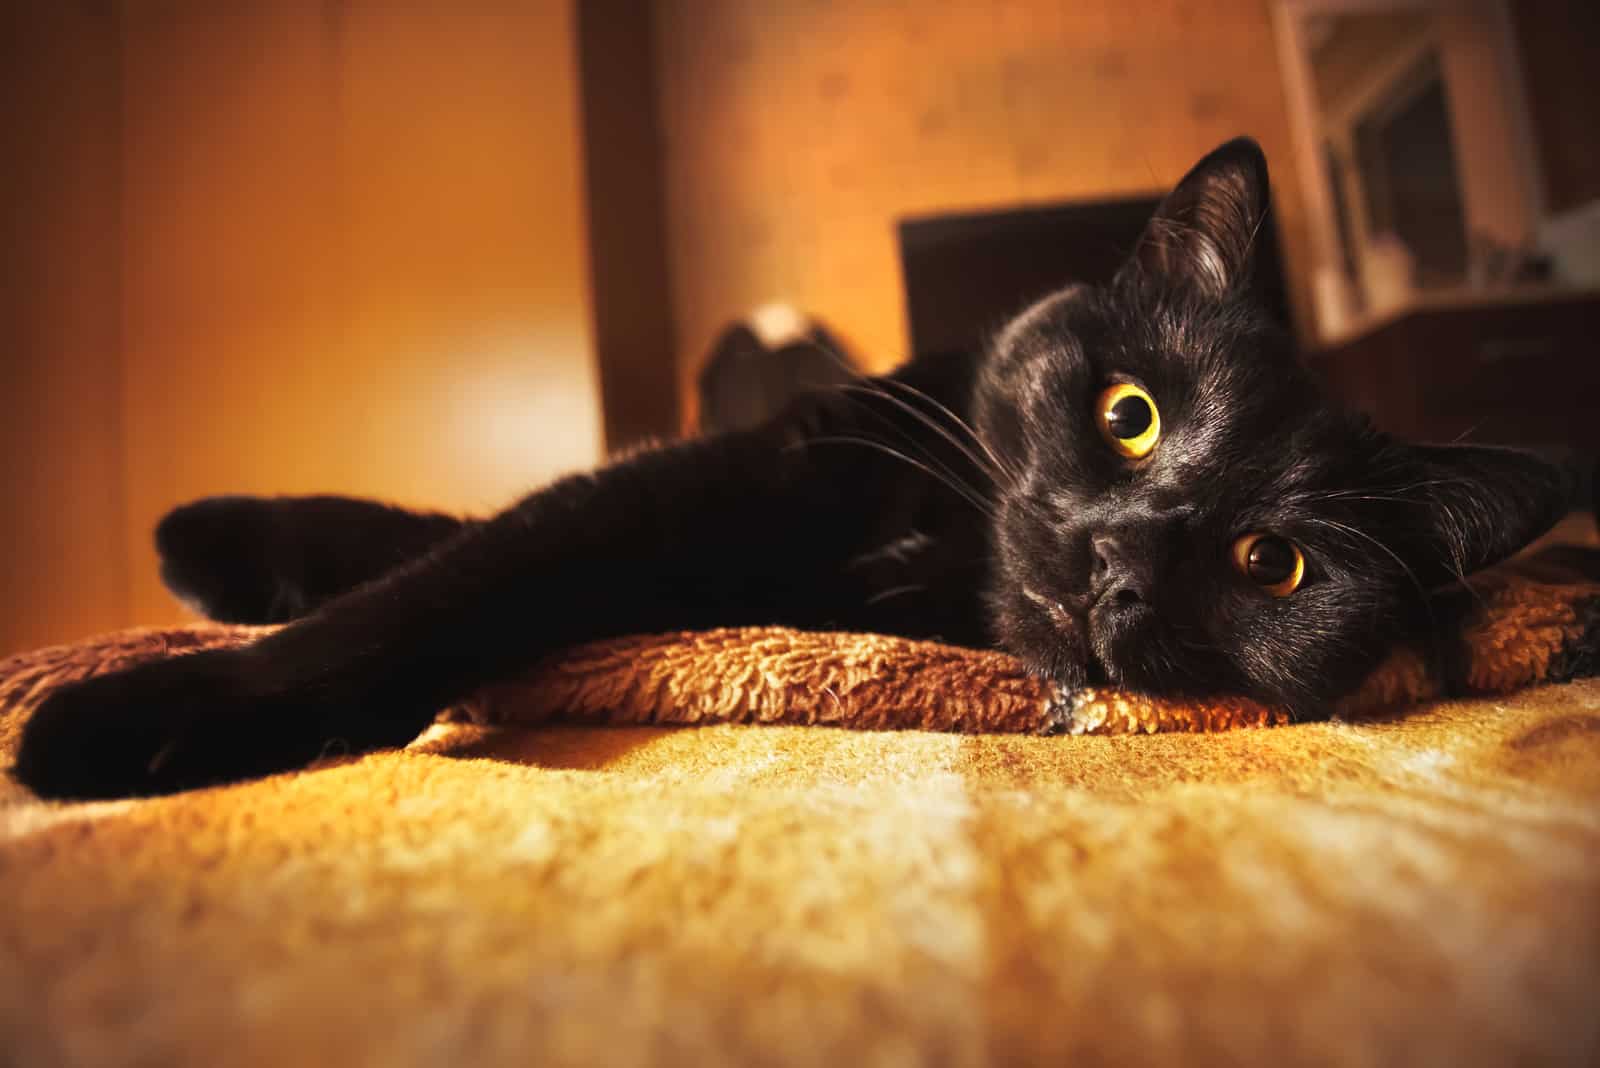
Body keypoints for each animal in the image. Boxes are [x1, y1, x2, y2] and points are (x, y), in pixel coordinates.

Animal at [9, 137, 1561, 796]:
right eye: (1133, 415)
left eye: (1270, 566)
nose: (1116, 559)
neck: (941, 547)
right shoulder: (745, 471)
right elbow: (457, 559)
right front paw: (200, 598)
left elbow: (463, 582)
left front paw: (136, 720)